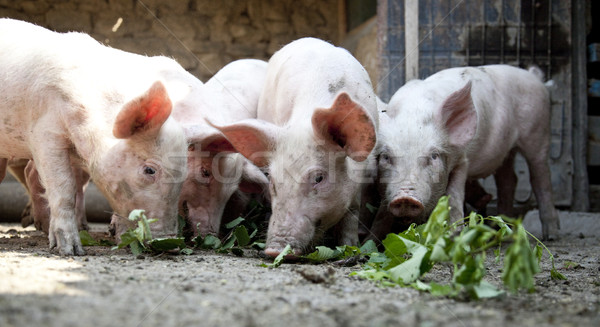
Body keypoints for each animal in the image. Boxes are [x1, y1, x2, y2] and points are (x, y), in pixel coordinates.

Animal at [372, 64, 560, 241]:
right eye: (386, 157)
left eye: (434, 156)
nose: (405, 198)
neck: (414, 112)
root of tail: (534, 77)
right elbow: (382, 213)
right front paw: (372, 240)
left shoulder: (462, 159)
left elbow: (454, 196)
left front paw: (454, 234)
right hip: (506, 150)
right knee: (509, 180)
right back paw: (500, 230)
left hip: (538, 132)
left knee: (540, 178)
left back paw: (550, 235)